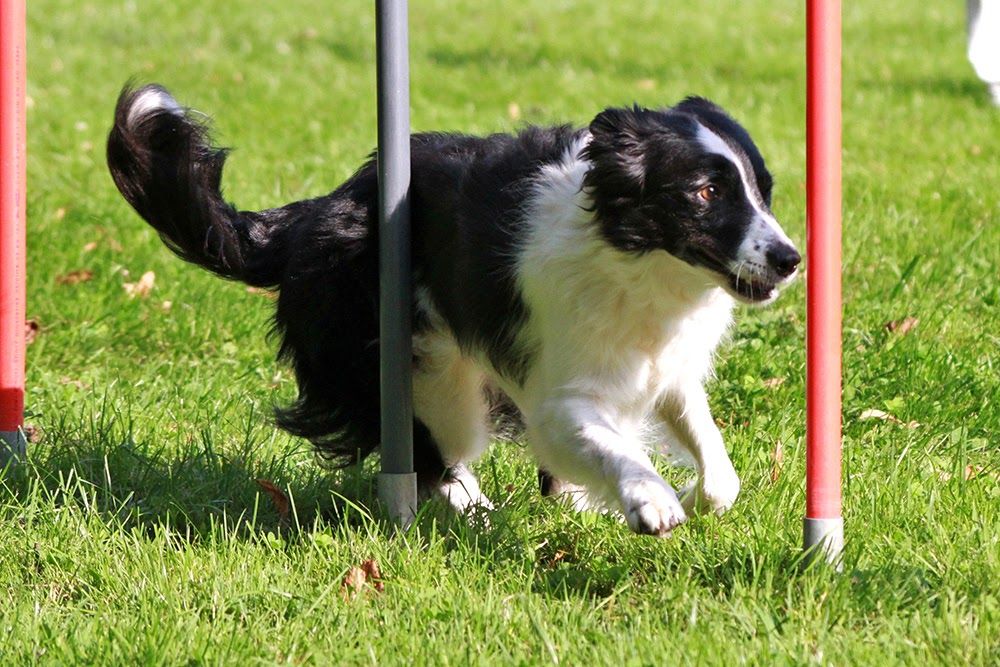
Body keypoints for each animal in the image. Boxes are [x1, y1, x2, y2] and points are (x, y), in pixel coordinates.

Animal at [107, 86, 796, 536]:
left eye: (762, 191)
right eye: (705, 193)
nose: (791, 259)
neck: (636, 262)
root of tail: (314, 214)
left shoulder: (665, 368)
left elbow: (719, 471)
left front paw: (690, 494)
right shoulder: (558, 393)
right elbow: (611, 445)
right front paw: (649, 500)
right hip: (426, 375)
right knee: (436, 456)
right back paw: (477, 513)